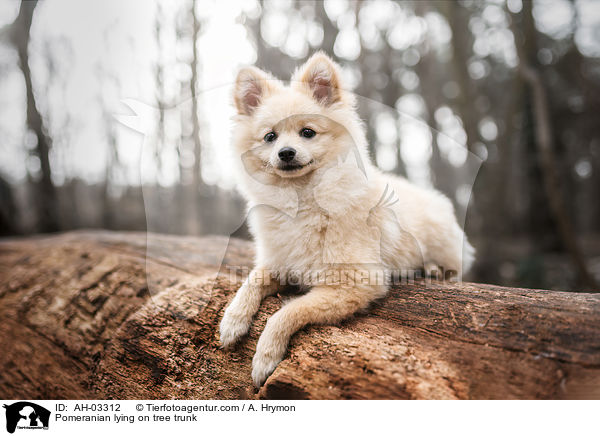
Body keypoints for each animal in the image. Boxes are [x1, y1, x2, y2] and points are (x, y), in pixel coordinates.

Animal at [220, 52, 474, 386]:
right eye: (270, 137)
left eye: (307, 132)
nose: (286, 152)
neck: (302, 198)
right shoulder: (279, 261)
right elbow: (250, 282)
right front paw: (232, 320)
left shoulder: (353, 283)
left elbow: (287, 312)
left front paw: (266, 356)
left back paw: (433, 270)